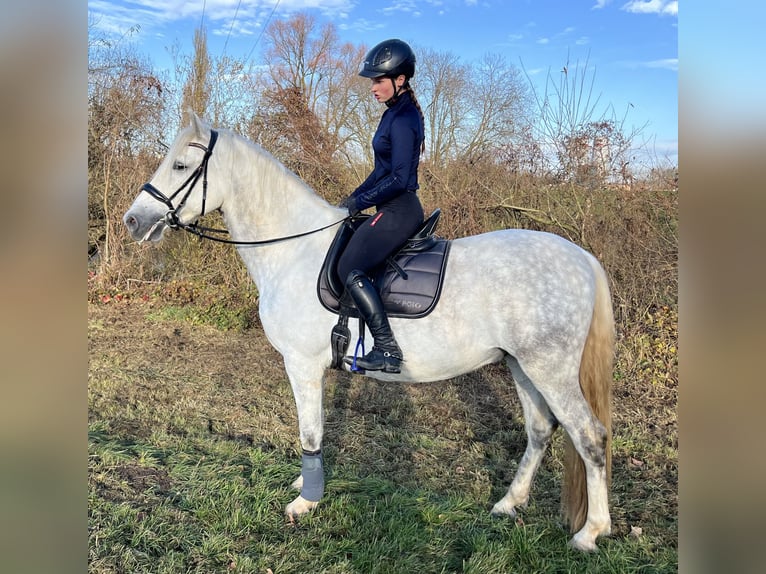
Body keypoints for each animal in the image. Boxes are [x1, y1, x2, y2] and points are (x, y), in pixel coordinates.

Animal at [126, 113, 616, 552]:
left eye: (180, 166)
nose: (133, 221)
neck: (294, 249)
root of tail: (581, 258)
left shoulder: (302, 364)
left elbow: (310, 431)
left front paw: (307, 500)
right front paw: (306, 484)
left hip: (549, 368)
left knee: (589, 437)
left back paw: (590, 534)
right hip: (521, 365)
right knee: (541, 430)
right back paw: (509, 504)